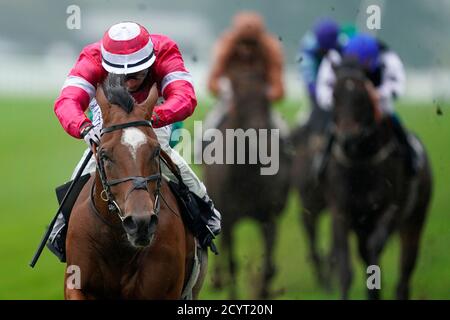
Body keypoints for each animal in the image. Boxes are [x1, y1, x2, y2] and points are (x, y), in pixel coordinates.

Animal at [204, 56, 292, 298]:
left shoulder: (269, 217)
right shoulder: (230, 216)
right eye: (240, 98)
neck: (248, 175)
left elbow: (269, 266)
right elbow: (232, 262)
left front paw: (264, 291)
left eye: (265, 99)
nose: (258, 132)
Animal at [322, 60, 430, 300]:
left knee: (404, 275)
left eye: (363, 96)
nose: (347, 139)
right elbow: (345, 267)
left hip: (414, 222)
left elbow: (374, 249)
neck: (360, 161)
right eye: (334, 95)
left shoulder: (390, 209)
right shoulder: (340, 211)